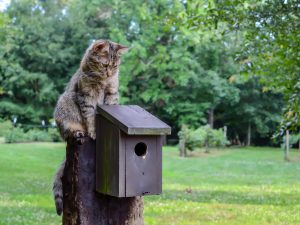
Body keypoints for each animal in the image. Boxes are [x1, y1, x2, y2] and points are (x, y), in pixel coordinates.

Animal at [52, 39, 127, 215]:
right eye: (105, 65)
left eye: (115, 66)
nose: (109, 73)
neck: (102, 80)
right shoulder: (86, 96)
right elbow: (90, 117)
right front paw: (93, 131)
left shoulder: (111, 93)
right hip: (64, 105)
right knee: (68, 132)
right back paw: (78, 132)